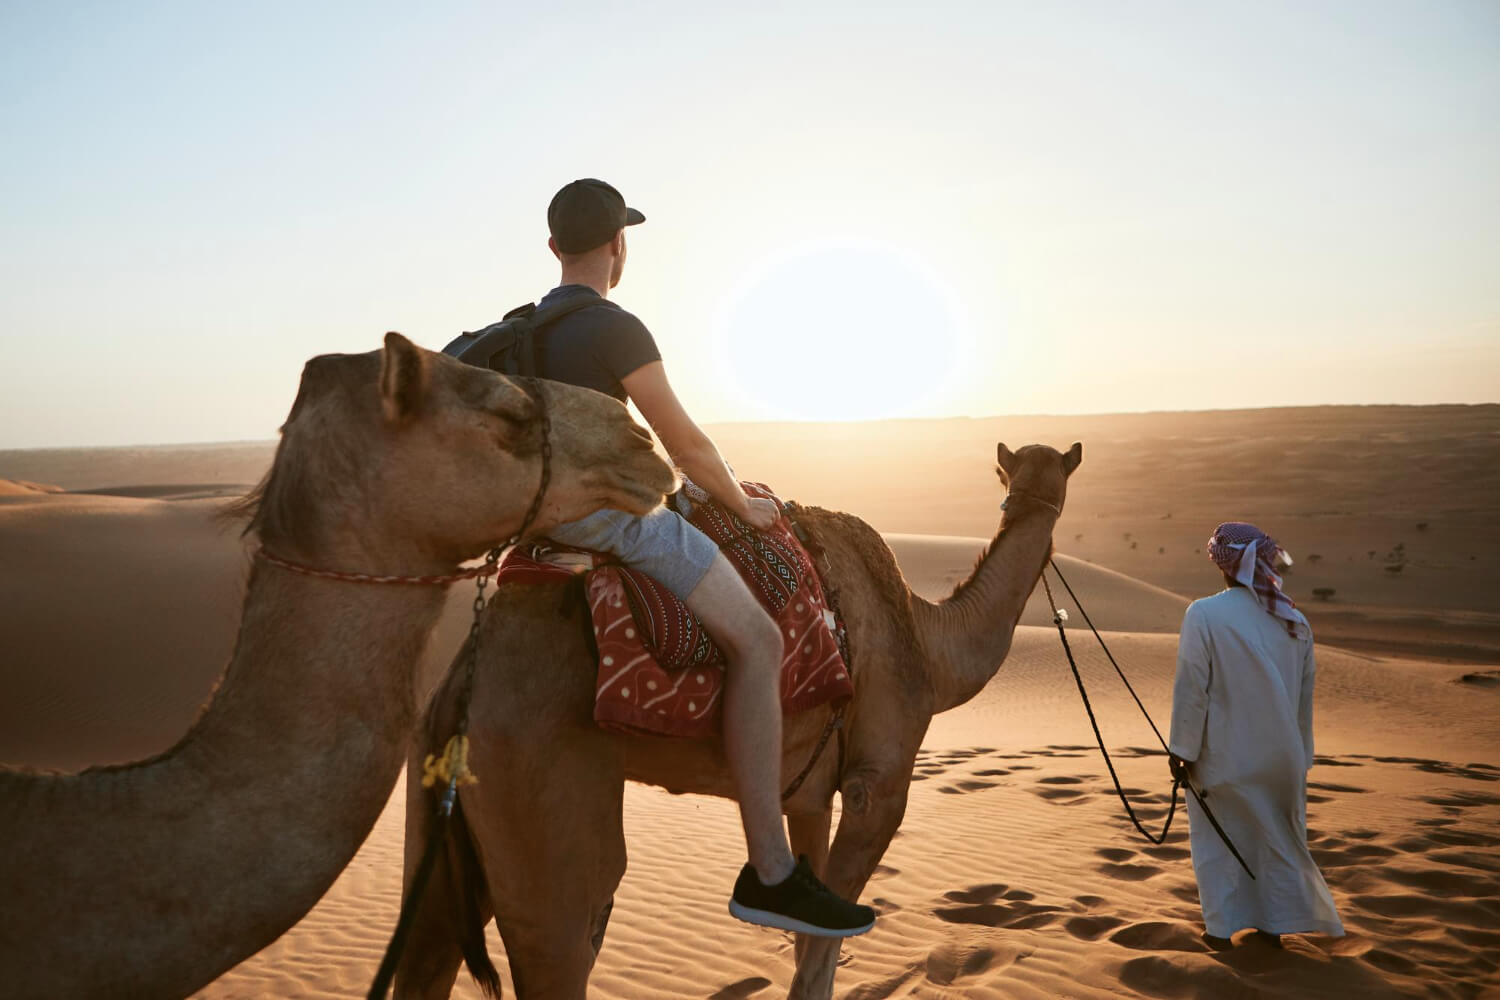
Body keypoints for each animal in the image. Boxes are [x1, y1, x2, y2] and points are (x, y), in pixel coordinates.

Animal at [393, 440, 1086, 1000]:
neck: (928, 641)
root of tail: (459, 690)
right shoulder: (878, 784)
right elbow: (821, 955)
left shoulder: (808, 798)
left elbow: (810, 933)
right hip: (542, 805)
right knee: (567, 932)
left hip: (440, 820)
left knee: (424, 953)